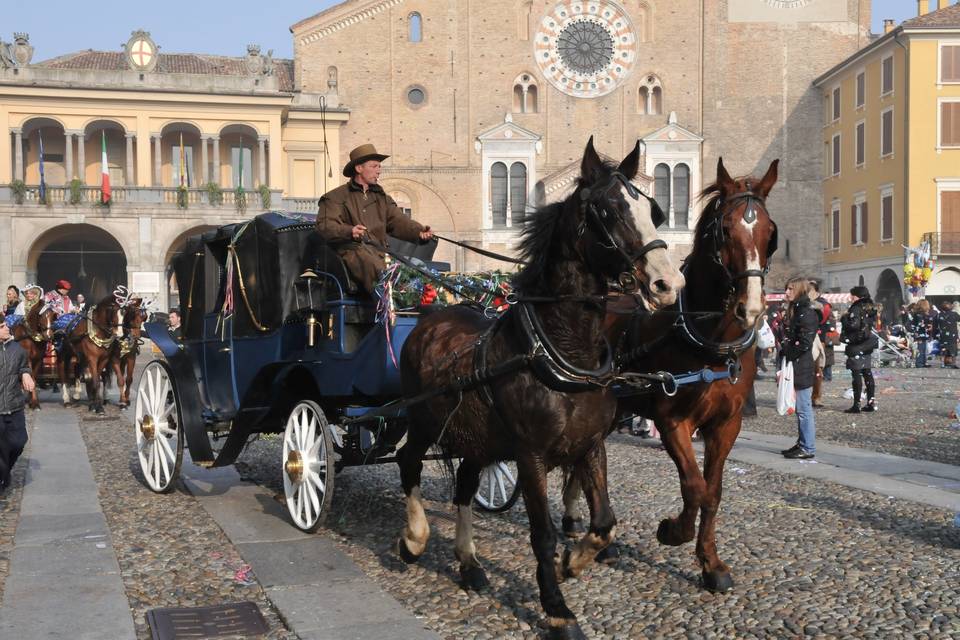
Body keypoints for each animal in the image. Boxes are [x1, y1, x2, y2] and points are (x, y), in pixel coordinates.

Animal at [396, 140, 684, 640]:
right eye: (608, 210)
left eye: (654, 209)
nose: (669, 283)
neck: (561, 348)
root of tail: (430, 314)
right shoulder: (530, 455)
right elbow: (542, 533)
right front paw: (557, 608)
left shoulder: (590, 445)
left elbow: (604, 522)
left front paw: (574, 561)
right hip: (422, 420)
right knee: (408, 462)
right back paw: (414, 539)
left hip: (475, 439)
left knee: (464, 487)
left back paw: (469, 563)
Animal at [564, 158, 780, 592]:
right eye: (724, 230)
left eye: (770, 234)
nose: (751, 309)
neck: (709, 341)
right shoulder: (672, 420)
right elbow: (694, 487)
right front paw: (673, 531)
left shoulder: (725, 424)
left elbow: (713, 492)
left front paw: (711, 563)